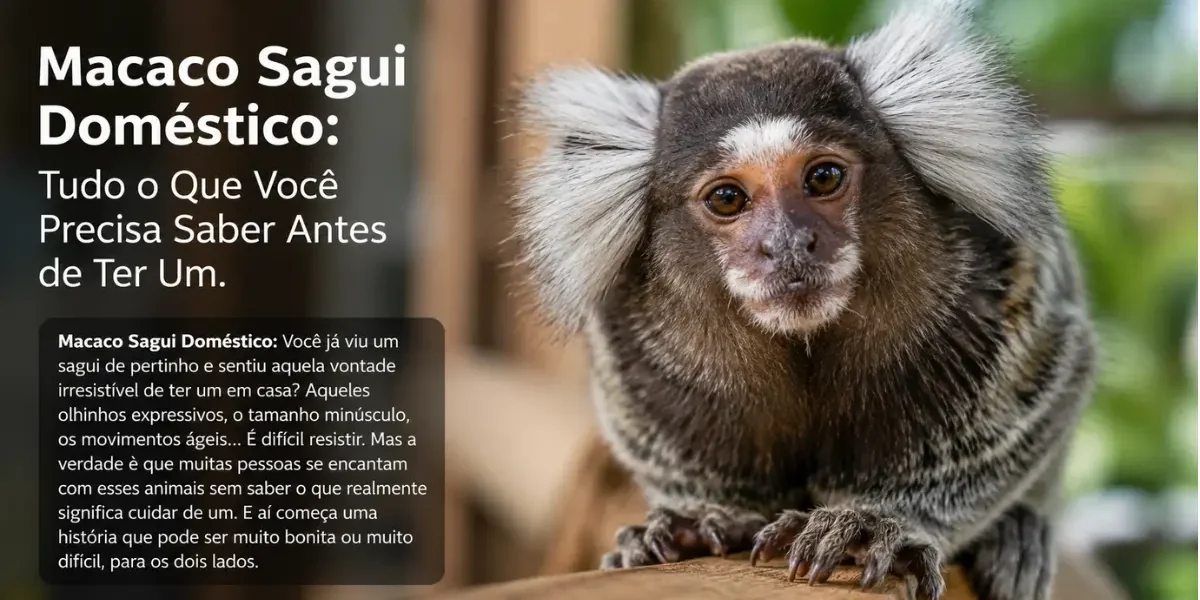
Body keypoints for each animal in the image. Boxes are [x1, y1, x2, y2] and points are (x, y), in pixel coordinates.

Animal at [508, 1, 1097, 599]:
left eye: (824, 177)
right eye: (727, 198)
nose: (788, 243)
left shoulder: (1003, 286)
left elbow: (1039, 388)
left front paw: (877, 523)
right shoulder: (633, 354)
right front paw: (705, 520)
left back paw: (1018, 535)